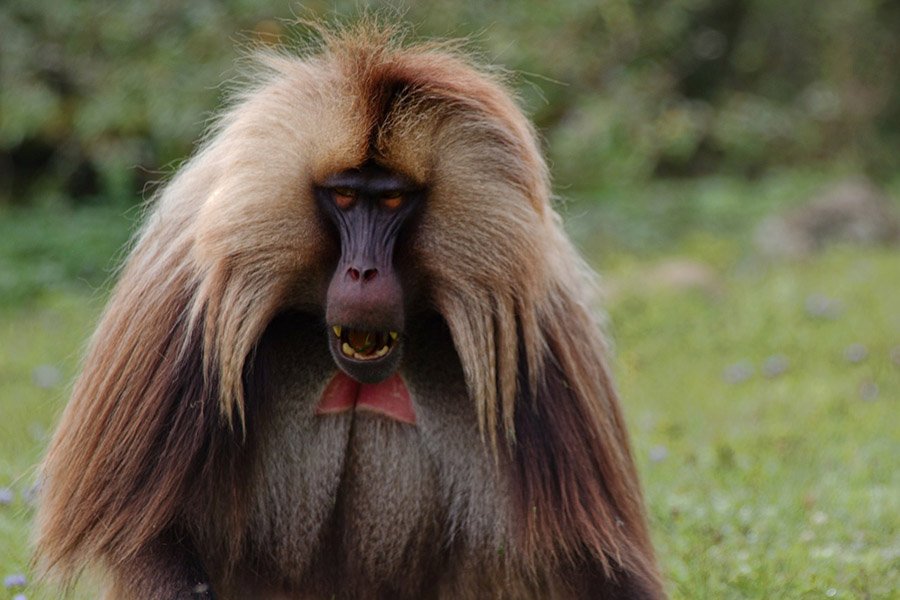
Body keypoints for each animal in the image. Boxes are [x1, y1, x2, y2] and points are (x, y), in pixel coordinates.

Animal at [33, 23, 666, 600]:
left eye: (390, 200)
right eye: (343, 196)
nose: (364, 273)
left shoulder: (542, 325)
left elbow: (587, 561)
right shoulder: (177, 308)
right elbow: (143, 535)